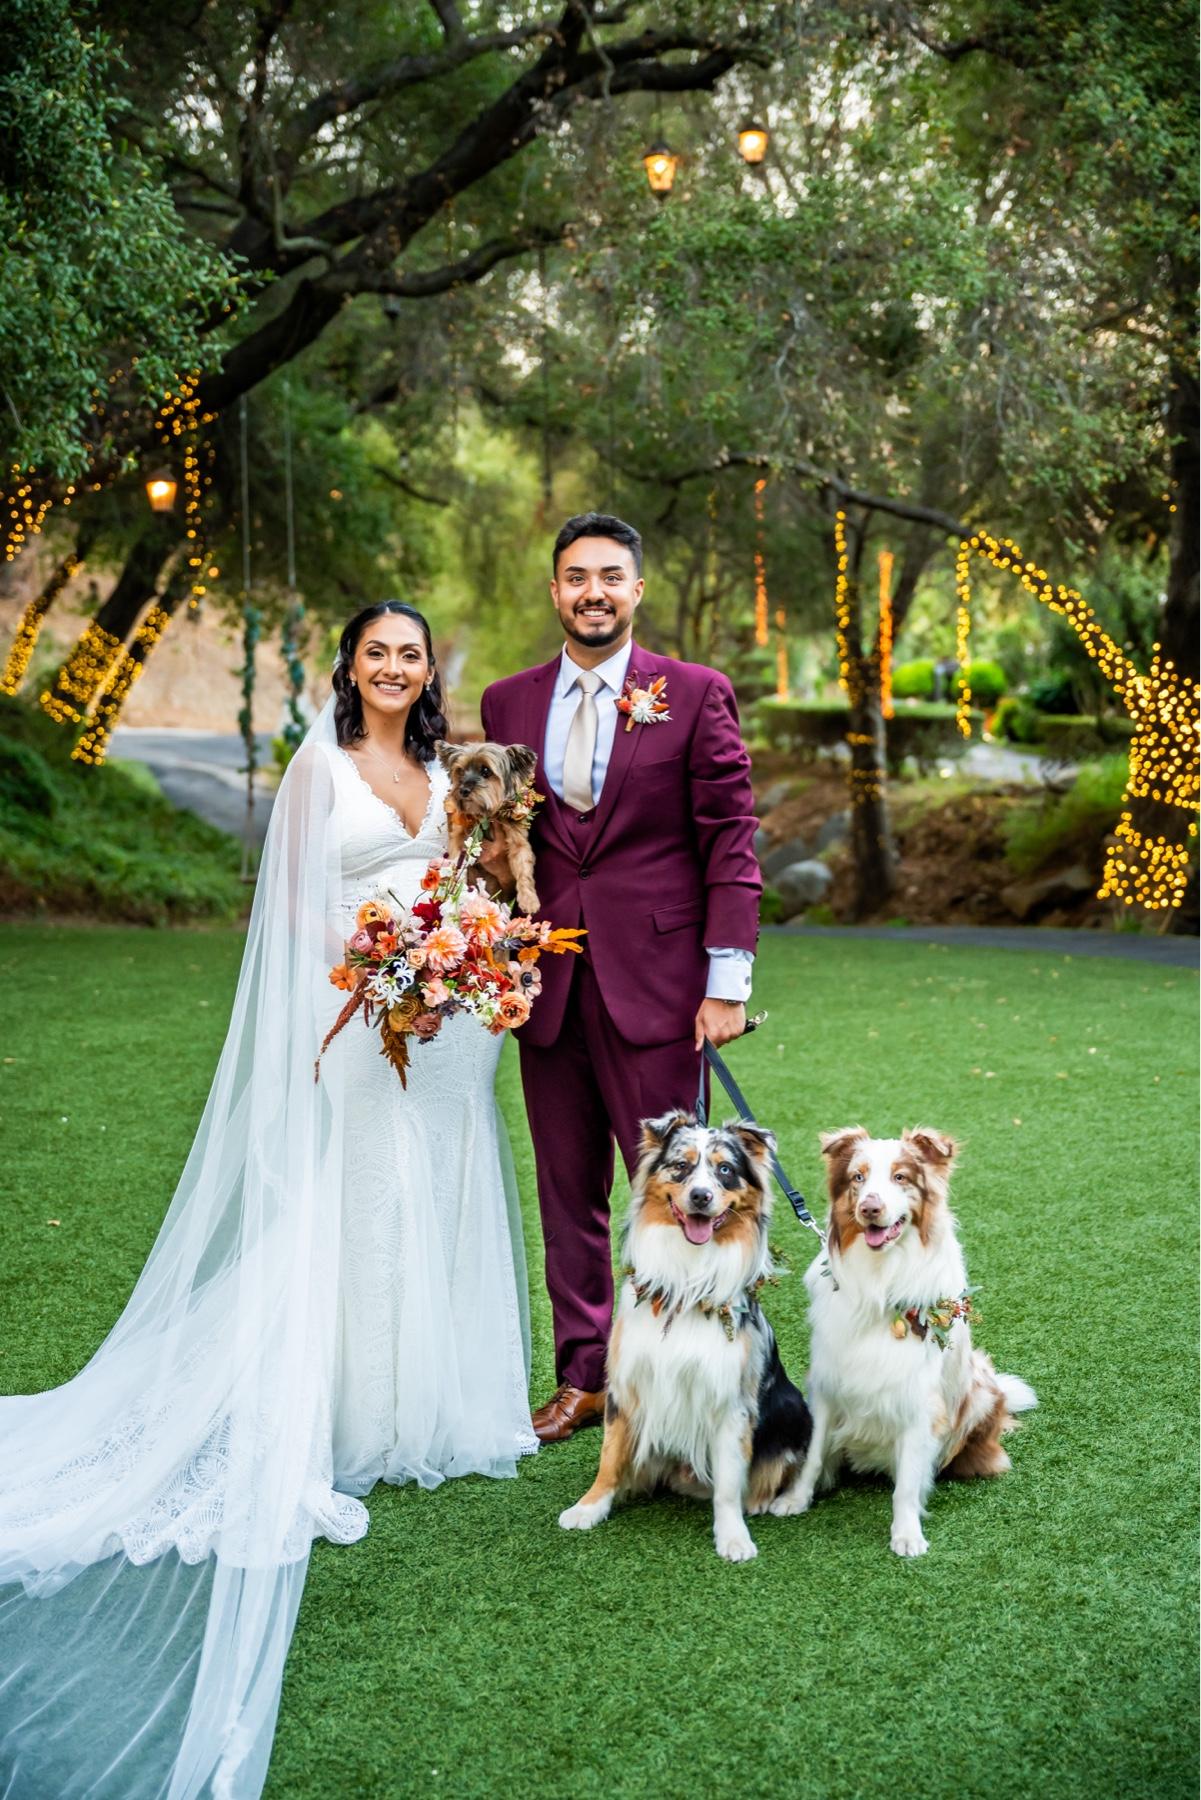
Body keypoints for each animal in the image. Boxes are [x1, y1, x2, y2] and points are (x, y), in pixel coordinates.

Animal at [435, 740, 540, 913]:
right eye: (460, 771)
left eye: (486, 771)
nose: (463, 790)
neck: (485, 816)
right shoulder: (458, 838)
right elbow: (456, 862)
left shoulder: (518, 840)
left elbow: (523, 868)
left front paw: (529, 900)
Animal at [559, 1110, 812, 1563]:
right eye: (681, 1166)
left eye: (725, 1170)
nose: (700, 1196)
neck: (687, 1283)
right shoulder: (625, 1387)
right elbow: (609, 1457)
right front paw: (589, 1507)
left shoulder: (731, 1400)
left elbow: (728, 1482)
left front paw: (732, 1536)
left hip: (795, 1408)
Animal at [770, 1127, 1037, 1556]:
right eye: (858, 1178)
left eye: (900, 1177)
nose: (870, 1208)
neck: (880, 1280)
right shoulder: (827, 1385)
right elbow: (812, 1456)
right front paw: (796, 1499)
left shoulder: (919, 1401)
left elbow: (908, 1482)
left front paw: (907, 1533)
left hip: (980, 1391)